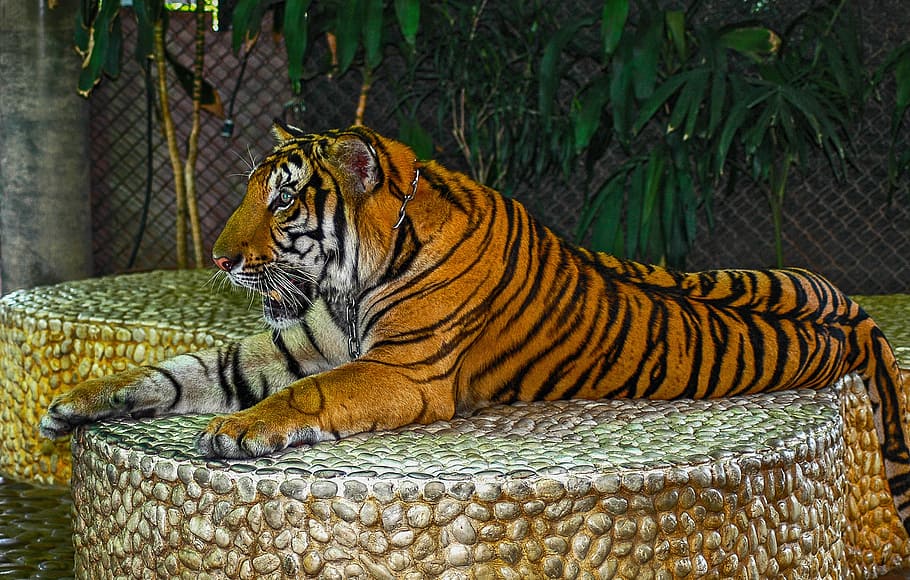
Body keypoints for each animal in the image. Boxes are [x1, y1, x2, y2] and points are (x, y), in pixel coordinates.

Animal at [40, 123, 910, 534]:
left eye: (283, 201)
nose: (219, 260)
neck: (350, 283)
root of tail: (854, 312)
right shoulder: (293, 344)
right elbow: (178, 370)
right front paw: (75, 401)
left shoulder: (402, 372)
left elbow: (309, 396)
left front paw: (236, 432)